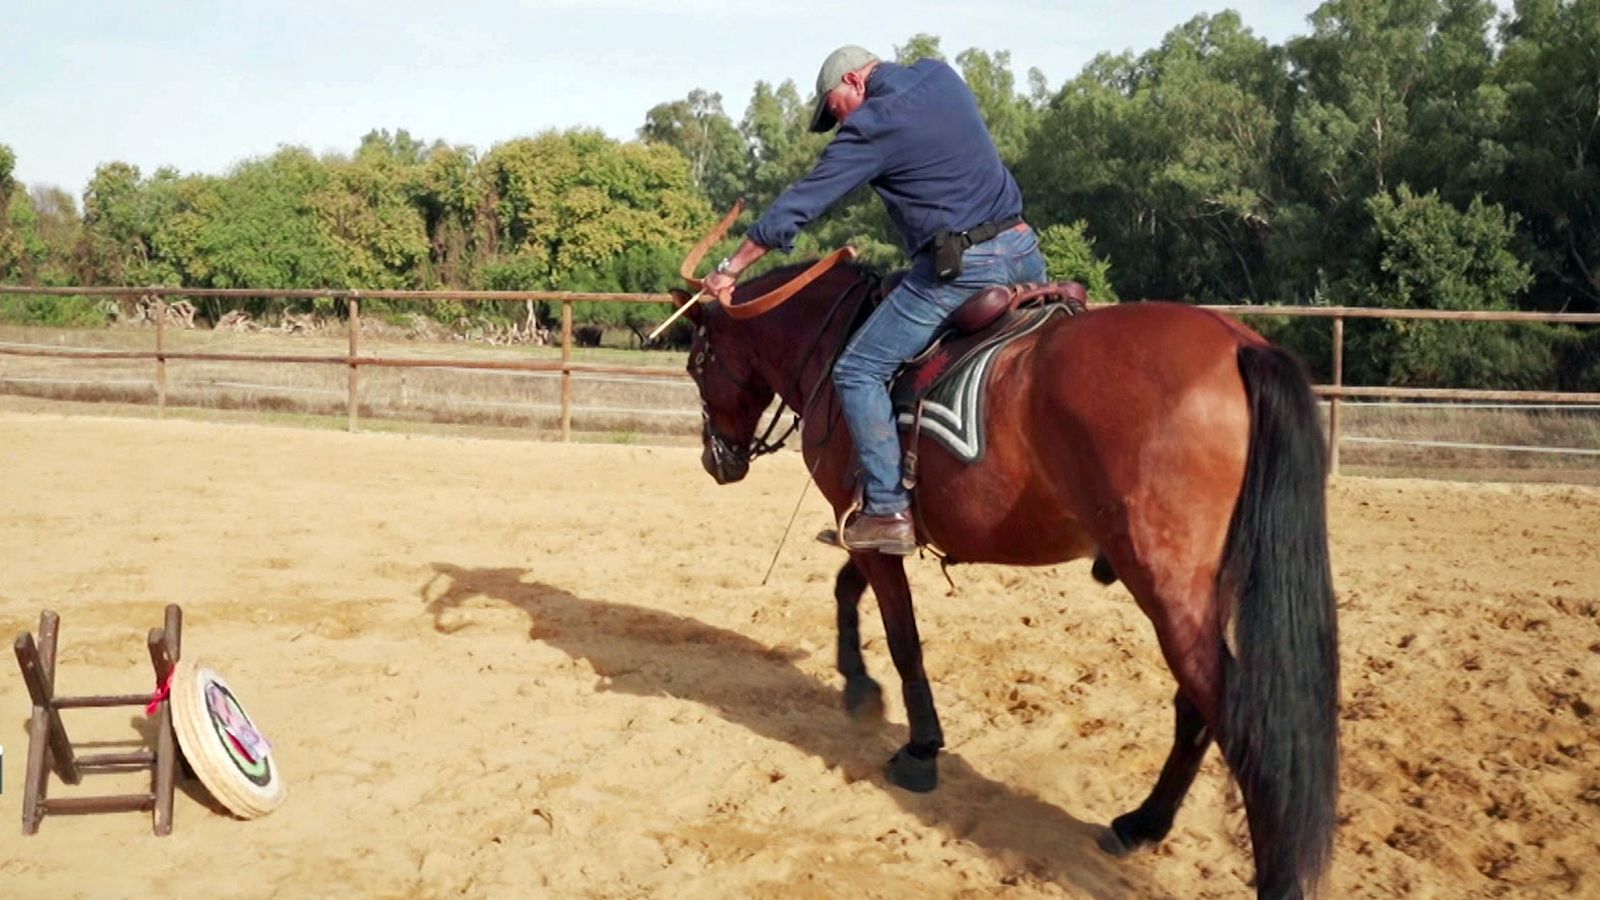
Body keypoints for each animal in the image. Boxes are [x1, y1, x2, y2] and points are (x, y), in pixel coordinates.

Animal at [671, 241, 1339, 898]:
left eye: (697, 364)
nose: (715, 460)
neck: (837, 344)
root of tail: (1238, 344)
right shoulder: (874, 522)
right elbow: (847, 590)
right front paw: (858, 686)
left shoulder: (864, 521)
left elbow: (902, 637)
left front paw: (918, 747)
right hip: (1200, 596)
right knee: (1196, 710)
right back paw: (1142, 823)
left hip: (1169, 593)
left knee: (1245, 729)